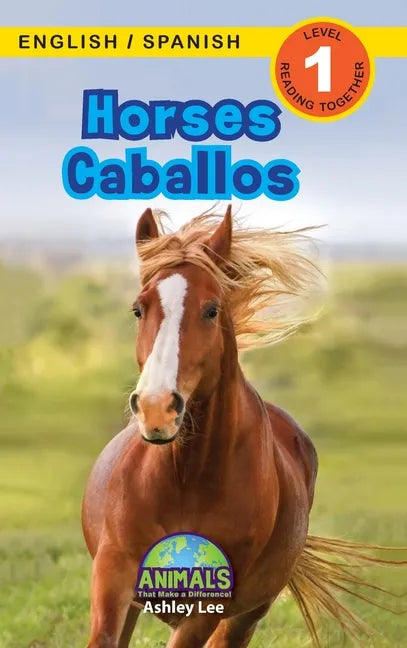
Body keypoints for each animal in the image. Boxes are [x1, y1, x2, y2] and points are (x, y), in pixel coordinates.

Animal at [82, 205, 401, 648]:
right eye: (138, 309)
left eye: (212, 309)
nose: (156, 409)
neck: (184, 482)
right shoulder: (112, 579)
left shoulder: (206, 608)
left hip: (245, 615)